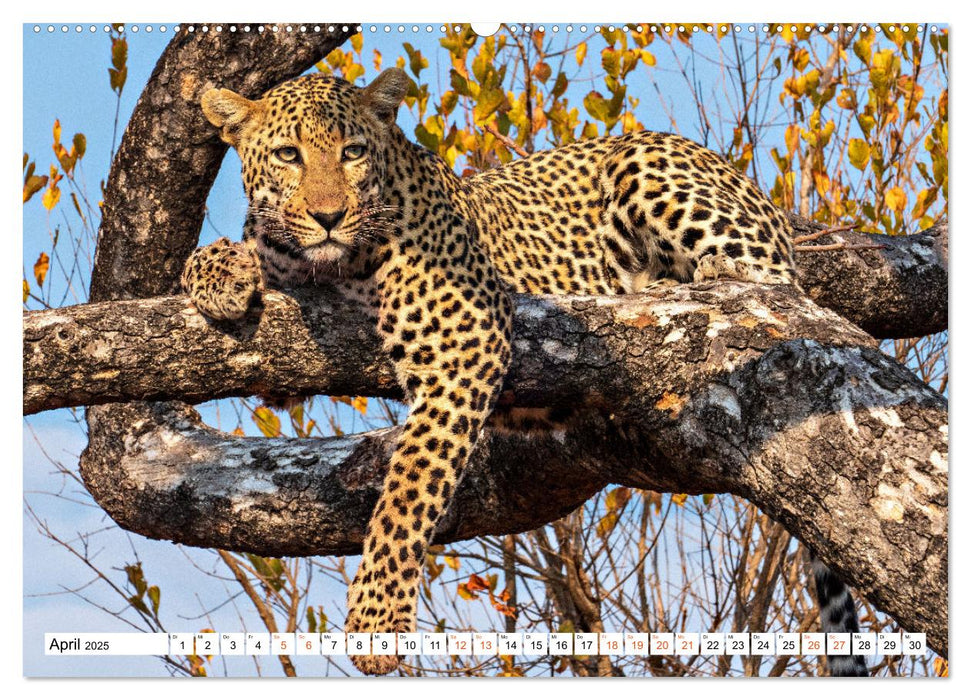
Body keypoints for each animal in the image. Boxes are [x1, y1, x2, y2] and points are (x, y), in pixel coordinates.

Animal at [182, 68, 864, 676]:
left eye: (352, 153)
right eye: (289, 156)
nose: (328, 216)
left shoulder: (464, 337)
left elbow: (409, 488)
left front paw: (377, 621)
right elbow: (224, 256)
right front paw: (222, 273)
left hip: (652, 170)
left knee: (762, 290)